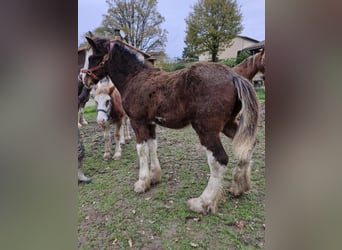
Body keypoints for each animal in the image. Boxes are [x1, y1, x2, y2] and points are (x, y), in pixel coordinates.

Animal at [81, 35, 260, 215]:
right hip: (229, 124)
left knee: (219, 160)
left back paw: (202, 203)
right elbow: (152, 146)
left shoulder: (137, 122)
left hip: (206, 130)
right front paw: (154, 177)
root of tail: (234, 76)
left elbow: (142, 150)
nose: (84, 80)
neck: (135, 77)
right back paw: (239, 187)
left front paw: (142, 183)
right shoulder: (150, 123)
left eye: (92, 57)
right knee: (249, 146)